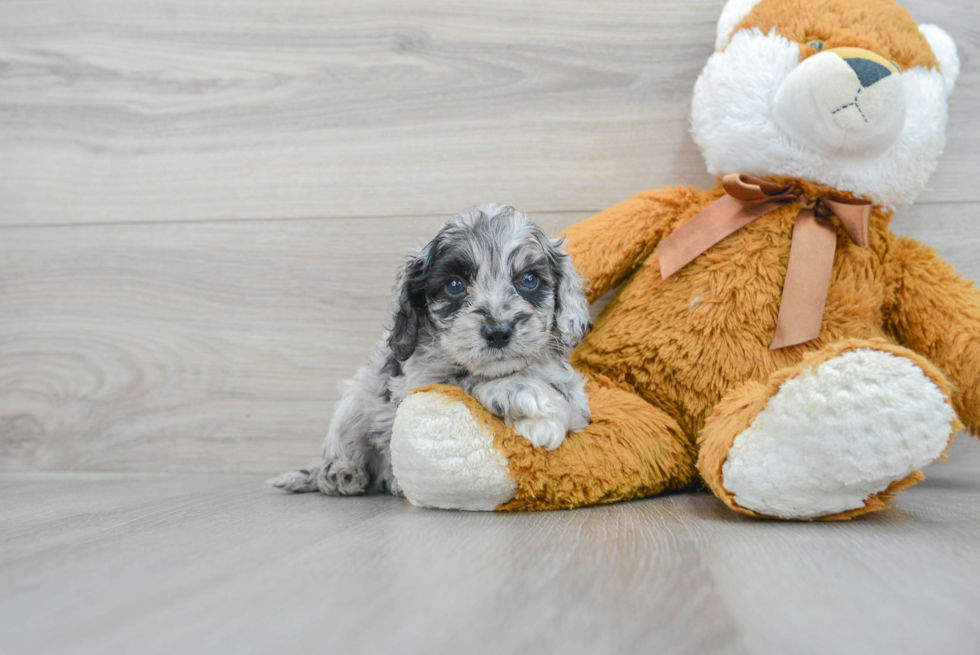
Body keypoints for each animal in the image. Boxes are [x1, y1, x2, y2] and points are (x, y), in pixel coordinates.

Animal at [268, 204, 588, 498]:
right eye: (455, 285)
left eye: (529, 280)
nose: (498, 332)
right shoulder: (419, 385)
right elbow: (468, 380)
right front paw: (532, 399)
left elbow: (570, 399)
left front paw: (548, 414)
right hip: (353, 403)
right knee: (344, 448)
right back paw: (341, 473)